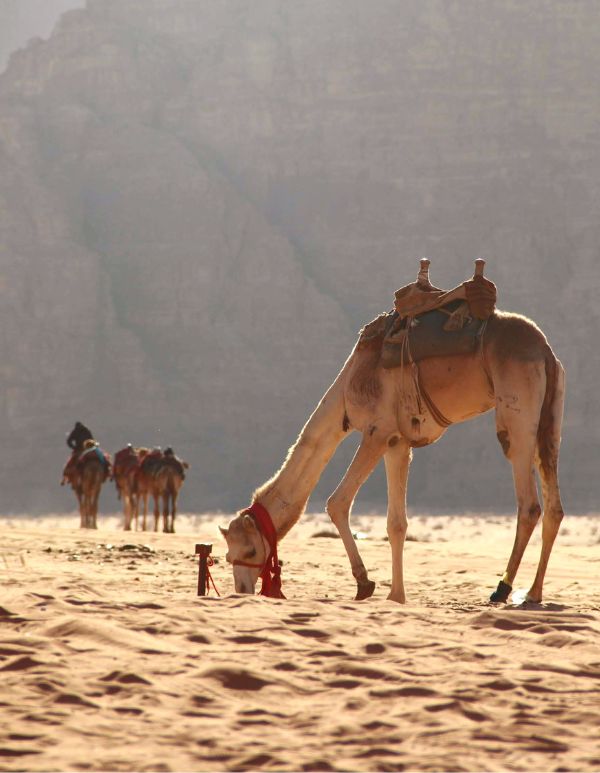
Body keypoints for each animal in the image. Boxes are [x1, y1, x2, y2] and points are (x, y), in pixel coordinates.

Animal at [220, 260, 565, 606]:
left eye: (249, 550)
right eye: (227, 555)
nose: (242, 589)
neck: (347, 388)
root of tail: (546, 350)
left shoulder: (377, 430)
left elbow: (337, 502)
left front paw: (364, 583)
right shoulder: (397, 441)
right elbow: (396, 522)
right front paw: (396, 595)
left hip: (515, 412)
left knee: (528, 502)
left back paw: (502, 589)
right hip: (549, 421)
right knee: (553, 506)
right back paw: (533, 593)